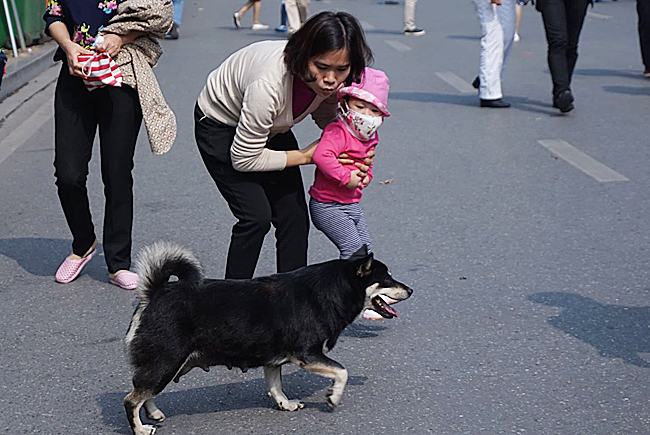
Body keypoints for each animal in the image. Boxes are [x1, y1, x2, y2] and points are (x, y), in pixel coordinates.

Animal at [123, 244, 410, 434]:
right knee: (131, 399)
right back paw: (140, 429)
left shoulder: (273, 359)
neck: (331, 290)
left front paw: (286, 404)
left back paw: (154, 413)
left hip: (164, 366)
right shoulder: (307, 355)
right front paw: (333, 397)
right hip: (166, 362)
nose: (410, 289)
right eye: (387, 279)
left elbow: (275, 386)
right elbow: (342, 372)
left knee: (143, 392)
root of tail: (154, 292)